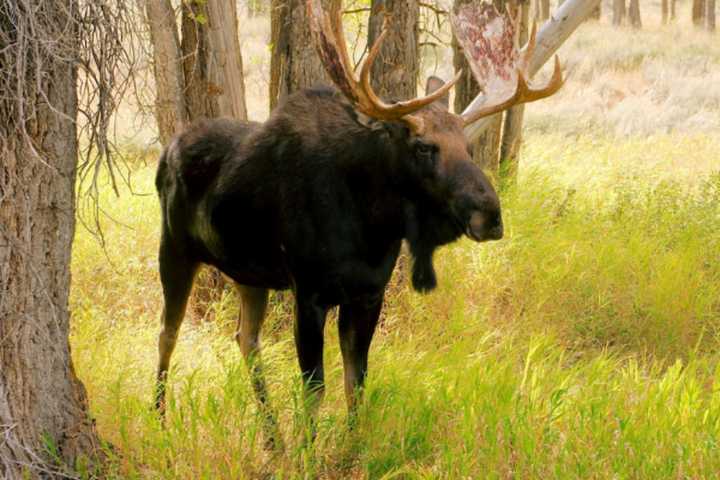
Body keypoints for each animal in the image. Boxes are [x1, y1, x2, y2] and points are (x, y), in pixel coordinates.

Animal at [153, 0, 564, 444]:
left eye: (468, 146)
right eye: (424, 147)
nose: (490, 215)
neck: (371, 227)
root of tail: (166, 151)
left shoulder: (369, 294)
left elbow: (357, 382)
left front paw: (351, 445)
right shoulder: (309, 292)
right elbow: (315, 387)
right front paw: (309, 450)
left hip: (249, 273)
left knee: (246, 338)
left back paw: (272, 437)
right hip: (174, 249)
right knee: (167, 334)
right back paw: (160, 419)